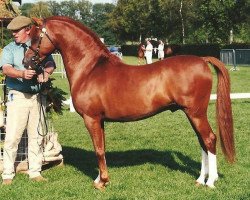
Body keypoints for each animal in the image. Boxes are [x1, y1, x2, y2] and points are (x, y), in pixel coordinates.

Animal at [23, 16, 234, 189]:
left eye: (35, 37)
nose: (27, 63)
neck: (90, 69)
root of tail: (202, 60)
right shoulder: (99, 121)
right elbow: (102, 148)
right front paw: (100, 179)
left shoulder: (91, 119)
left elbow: (98, 150)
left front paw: (102, 182)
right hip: (192, 113)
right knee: (202, 142)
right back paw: (200, 179)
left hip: (195, 113)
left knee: (209, 139)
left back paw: (210, 182)